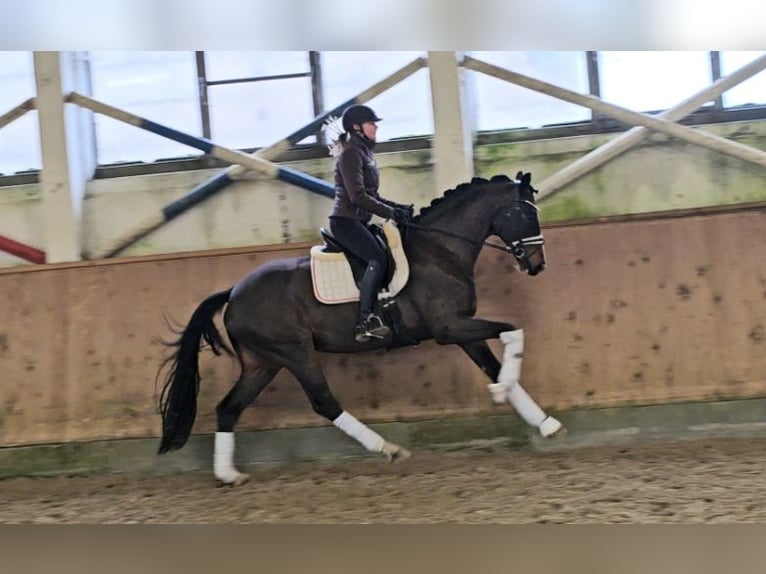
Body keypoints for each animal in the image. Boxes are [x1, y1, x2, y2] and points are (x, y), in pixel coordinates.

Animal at [156, 172, 564, 486]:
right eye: (525, 213)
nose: (537, 265)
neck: (440, 250)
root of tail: (235, 292)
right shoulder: (450, 328)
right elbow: (513, 331)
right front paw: (502, 390)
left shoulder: (462, 329)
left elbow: (494, 360)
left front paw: (544, 423)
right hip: (294, 352)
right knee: (323, 402)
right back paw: (388, 449)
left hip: (263, 362)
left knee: (228, 408)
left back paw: (228, 475)